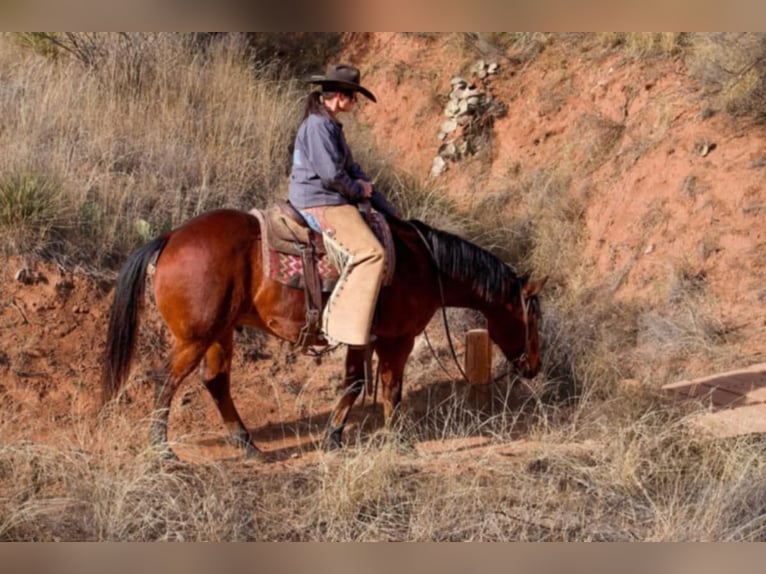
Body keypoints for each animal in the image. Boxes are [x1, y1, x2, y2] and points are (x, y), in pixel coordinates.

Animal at [102, 209, 544, 462]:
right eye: (534, 319)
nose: (535, 366)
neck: (426, 266)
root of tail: (170, 238)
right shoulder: (397, 340)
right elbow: (390, 388)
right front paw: (397, 439)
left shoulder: (363, 340)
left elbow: (353, 383)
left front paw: (334, 437)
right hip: (196, 338)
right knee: (168, 380)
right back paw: (162, 449)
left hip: (220, 334)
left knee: (215, 381)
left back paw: (247, 445)